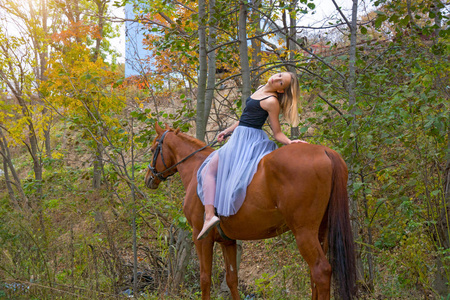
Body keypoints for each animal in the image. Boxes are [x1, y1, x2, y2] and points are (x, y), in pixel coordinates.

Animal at [144, 122, 356, 300]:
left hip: (304, 232)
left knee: (320, 271)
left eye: (154, 149)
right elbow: (231, 279)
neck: (197, 169)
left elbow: (205, 278)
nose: (148, 178)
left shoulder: (201, 238)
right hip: (322, 232)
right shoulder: (227, 241)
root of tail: (325, 151)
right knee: (315, 274)